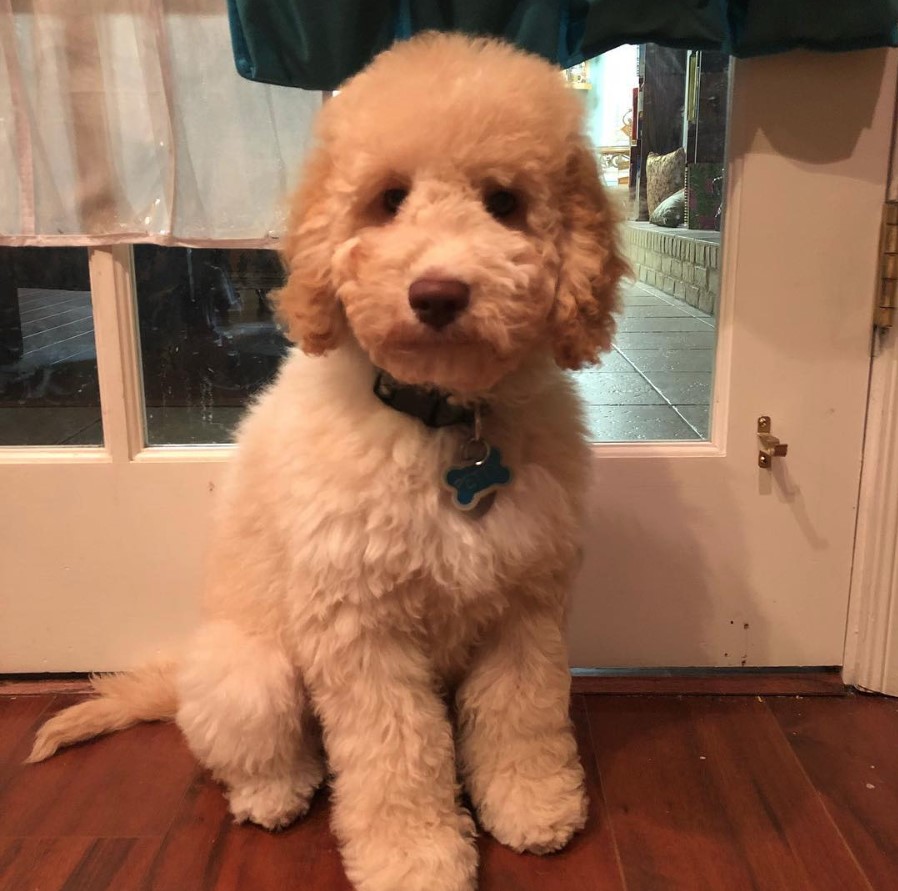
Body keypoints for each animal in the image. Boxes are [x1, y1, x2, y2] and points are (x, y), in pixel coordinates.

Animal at [33, 29, 624, 891]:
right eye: (389, 197)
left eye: (504, 202)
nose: (437, 293)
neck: (441, 422)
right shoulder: (361, 630)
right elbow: (397, 754)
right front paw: (416, 857)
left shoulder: (524, 604)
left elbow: (522, 712)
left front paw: (532, 803)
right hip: (254, 678)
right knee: (248, 749)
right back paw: (276, 792)